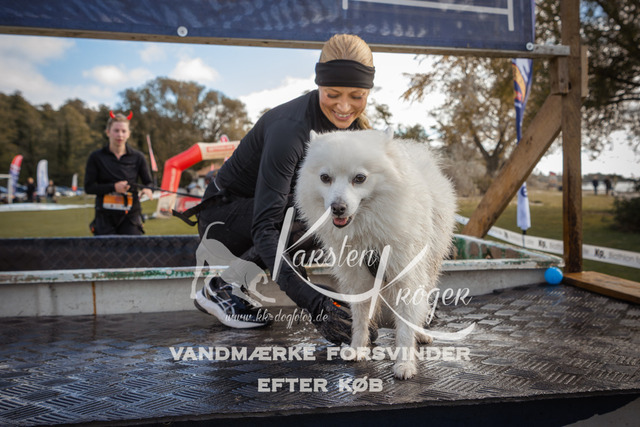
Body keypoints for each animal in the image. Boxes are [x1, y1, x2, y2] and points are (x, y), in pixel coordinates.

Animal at [295, 129, 456, 379]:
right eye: (325, 178)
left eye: (360, 178)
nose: (337, 207)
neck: (366, 230)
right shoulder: (357, 277)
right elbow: (360, 319)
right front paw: (357, 349)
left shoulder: (406, 275)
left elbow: (406, 323)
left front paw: (405, 363)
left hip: (430, 266)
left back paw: (420, 333)